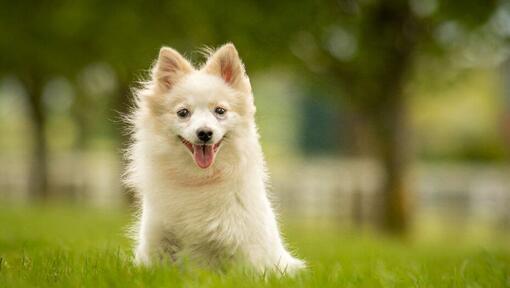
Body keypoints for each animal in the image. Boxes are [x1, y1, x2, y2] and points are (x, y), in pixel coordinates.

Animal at [125, 42, 304, 274]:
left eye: (220, 111)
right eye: (183, 113)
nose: (204, 133)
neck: (199, 180)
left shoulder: (241, 251)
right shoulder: (157, 242)